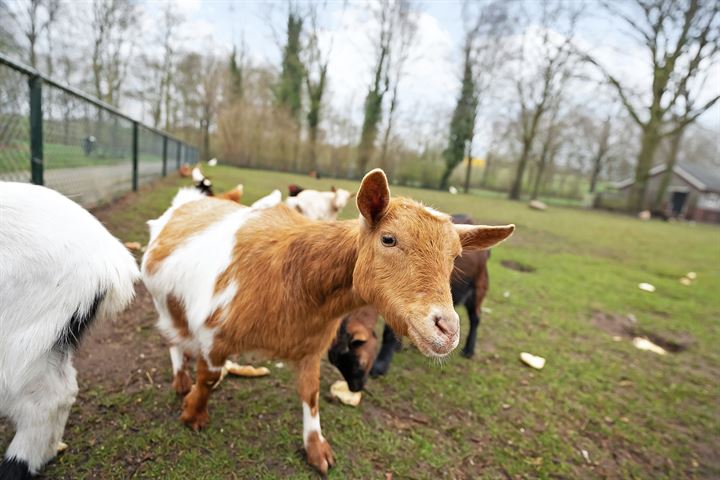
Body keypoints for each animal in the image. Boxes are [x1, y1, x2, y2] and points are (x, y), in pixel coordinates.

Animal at [141, 170, 512, 472]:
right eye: (388, 239)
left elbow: (311, 393)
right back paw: (180, 377)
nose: (446, 330)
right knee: (171, 336)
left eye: (456, 257)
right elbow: (208, 377)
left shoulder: (311, 345)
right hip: (161, 299)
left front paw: (317, 449)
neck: (295, 275)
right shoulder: (213, 332)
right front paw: (193, 413)